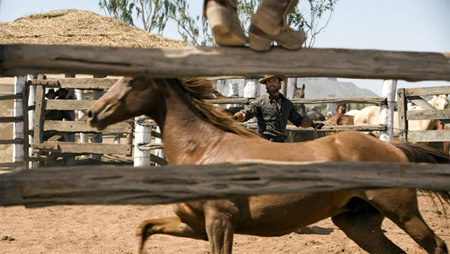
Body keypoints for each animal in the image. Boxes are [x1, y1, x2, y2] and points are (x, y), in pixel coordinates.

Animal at [86, 77, 448, 254]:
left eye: (129, 82)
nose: (92, 113)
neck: (204, 149)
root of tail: (393, 148)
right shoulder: (197, 225)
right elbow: (145, 227)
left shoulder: (220, 222)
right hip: (357, 223)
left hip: (402, 212)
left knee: (437, 245)